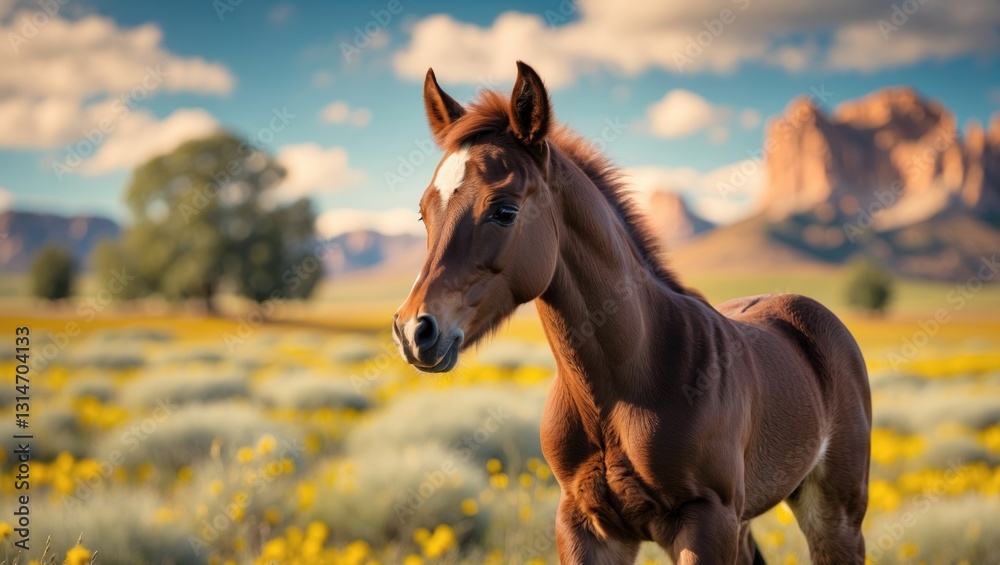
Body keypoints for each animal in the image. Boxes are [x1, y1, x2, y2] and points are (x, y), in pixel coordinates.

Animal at [393, 61, 871, 565]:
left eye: (504, 211)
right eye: (424, 213)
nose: (414, 331)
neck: (628, 380)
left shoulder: (706, 521)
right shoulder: (587, 524)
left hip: (834, 514)